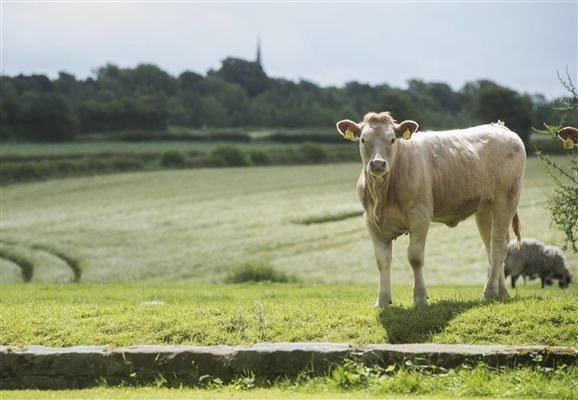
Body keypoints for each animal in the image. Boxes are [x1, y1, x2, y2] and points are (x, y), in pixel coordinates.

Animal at [336, 111, 524, 306]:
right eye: (363, 139)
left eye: (392, 139)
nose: (378, 164)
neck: (383, 195)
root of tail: (499, 127)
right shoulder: (371, 221)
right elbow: (382, 261)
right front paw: (382, 300)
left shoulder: (420, 217)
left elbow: (415, 258)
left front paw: (419, 297)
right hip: (485, 209)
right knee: (491, 248)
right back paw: (501, 292)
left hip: (506, 200)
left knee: (498, 247)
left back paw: (489, 292)